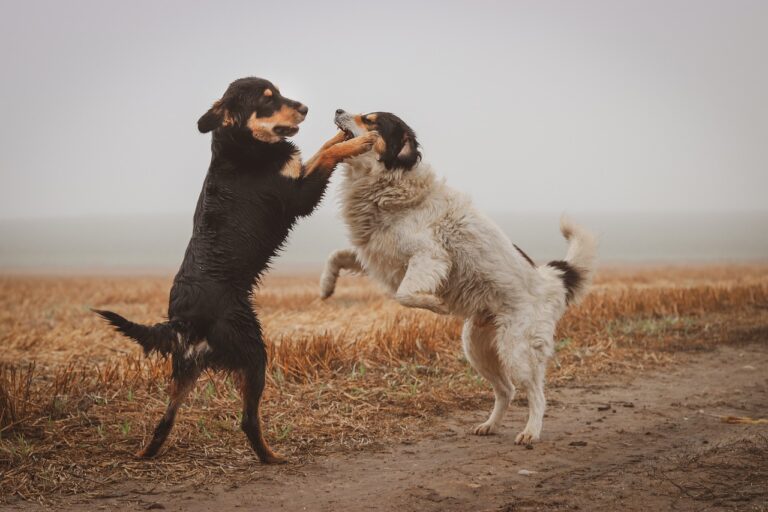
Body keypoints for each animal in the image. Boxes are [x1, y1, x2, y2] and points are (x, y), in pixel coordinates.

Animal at [96, 77, 376, 464]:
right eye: (268, 100)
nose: (304, 108)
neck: (242, 144)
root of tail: (183, 322)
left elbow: (324, 147)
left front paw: (346, 130)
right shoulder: (297, 196)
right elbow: (328, 155)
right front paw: (359, 141)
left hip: (186, 368)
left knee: (165, 420)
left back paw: (146, 453)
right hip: (253, 350)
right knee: (247, 420)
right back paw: (272, 457)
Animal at [320, 109, 596, 444]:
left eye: (371, 120)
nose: (338, 109)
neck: (394, 184)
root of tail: (547, 282)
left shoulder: (430, 256)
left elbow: (404, 294)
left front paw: (436, 304)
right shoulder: (378, 254)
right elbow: (337, 256)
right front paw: (326, 286)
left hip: (515, 350)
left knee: (536, 394)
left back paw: (530, 432)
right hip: (477, 347)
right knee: (506, 390)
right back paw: (490, 425)